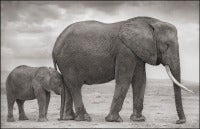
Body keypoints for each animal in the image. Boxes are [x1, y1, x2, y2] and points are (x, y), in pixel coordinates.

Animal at [52, 16, 193, 123]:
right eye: (166, 45)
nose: (179, 121)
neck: (149, 22)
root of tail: (55, 46)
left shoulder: (136, 52)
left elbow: (140, 80)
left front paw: (138, 120)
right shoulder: (125, 51)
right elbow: (124, 80)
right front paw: (114, 120)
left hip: (65, 64)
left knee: (68, 86)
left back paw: (70, 118)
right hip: (68, 62)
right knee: (75, 86)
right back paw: (85, 118)